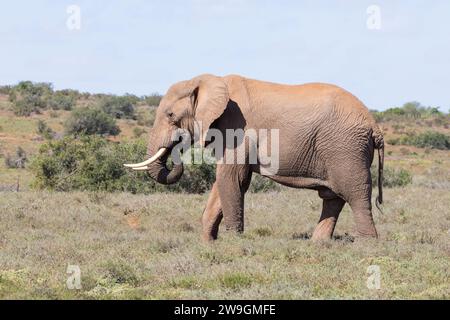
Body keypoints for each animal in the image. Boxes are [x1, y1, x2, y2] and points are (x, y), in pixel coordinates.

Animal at [123, 74, 384, 241]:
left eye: (170, 115)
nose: (177, 145)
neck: (207, 81)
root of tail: (374, 126)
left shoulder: (236, 128)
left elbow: (232, 178)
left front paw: (234, 242)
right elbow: (224, 182)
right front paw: (208, 242)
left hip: (346, 148)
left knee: (354, 193)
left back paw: (366, 244)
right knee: (333, 197)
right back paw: (318, 243)